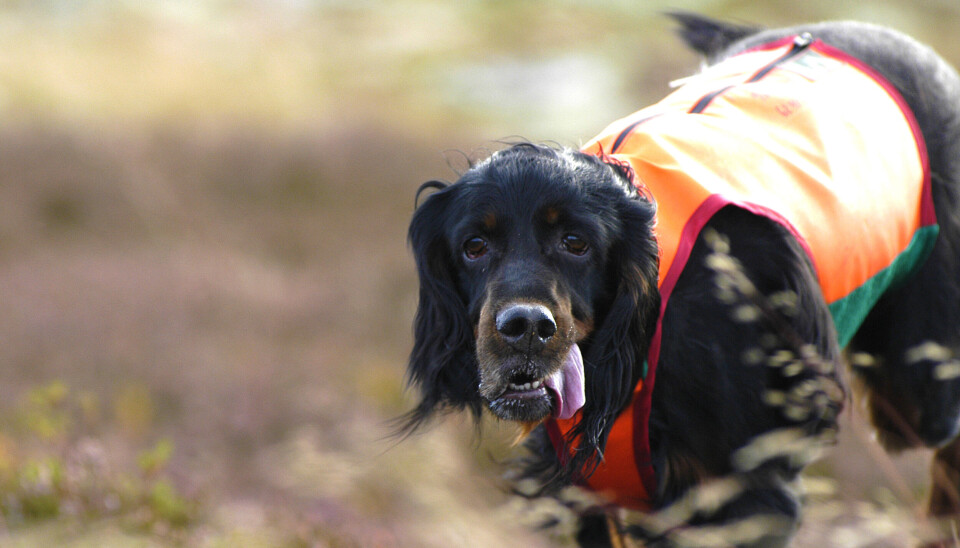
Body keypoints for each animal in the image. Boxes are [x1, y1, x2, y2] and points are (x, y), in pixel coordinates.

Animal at [402, 11, 960, 544]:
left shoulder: (751, 491)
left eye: (576, 242)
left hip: (919, 381)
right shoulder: (589, 491)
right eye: (474, 246)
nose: (525, 329)